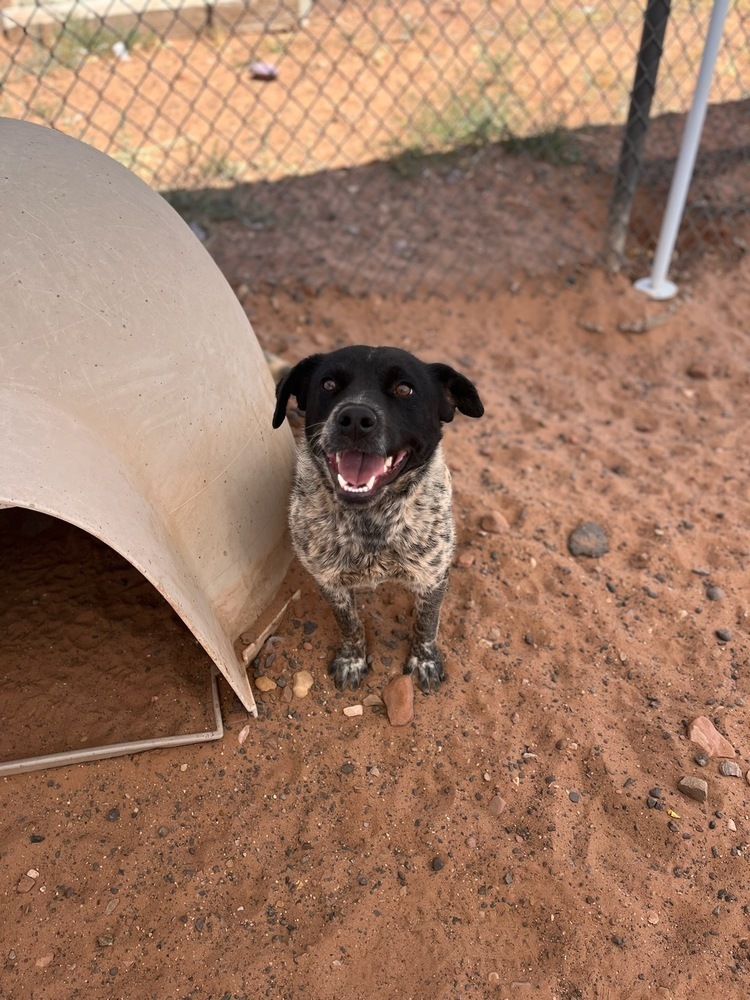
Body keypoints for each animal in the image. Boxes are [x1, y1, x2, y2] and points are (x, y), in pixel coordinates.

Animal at [274, 344, 484, 696]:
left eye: (404, 389)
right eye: (328, 384)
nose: (356, 419)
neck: (371, 521)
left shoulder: (433, 575)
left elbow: (426, 624)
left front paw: (424, 662)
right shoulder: (328, 580)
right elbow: (349, 624)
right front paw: (352, 660)